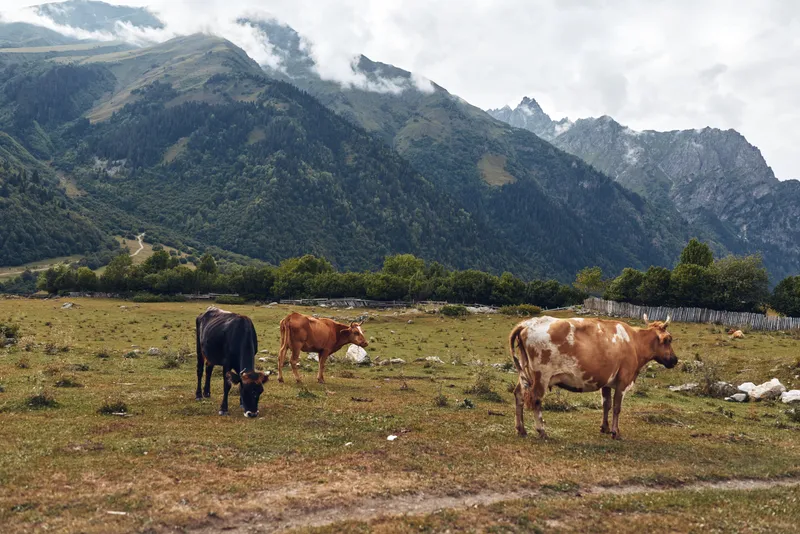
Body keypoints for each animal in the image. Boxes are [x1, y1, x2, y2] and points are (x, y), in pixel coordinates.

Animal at [509, 314, 678, 440]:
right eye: (668, 339)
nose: (675, 360)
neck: (634, 342)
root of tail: (528, 323)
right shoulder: (623, 380)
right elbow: (617, 407)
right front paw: (615, 432)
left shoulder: (607, 381)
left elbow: (606, 404)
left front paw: (605, 428)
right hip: (541, 375)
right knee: (536, 399)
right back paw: (542, 431)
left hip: (524, 373)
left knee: (519, 395)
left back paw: (521, 429)